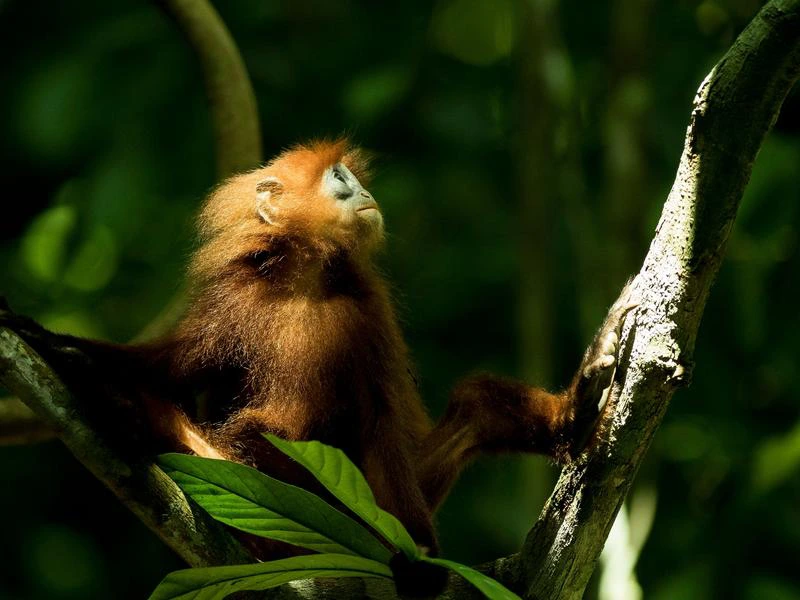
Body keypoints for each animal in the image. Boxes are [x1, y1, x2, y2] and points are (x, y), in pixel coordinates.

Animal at [0, 139, 636, 569]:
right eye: (339, 179)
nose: (366, 192)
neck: (303, 279)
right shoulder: (232, 301)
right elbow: (164, 366)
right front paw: (49, 343)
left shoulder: (366, 307)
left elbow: (381, 417)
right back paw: (120, 405)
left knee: (472, 406)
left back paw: (575, 410)